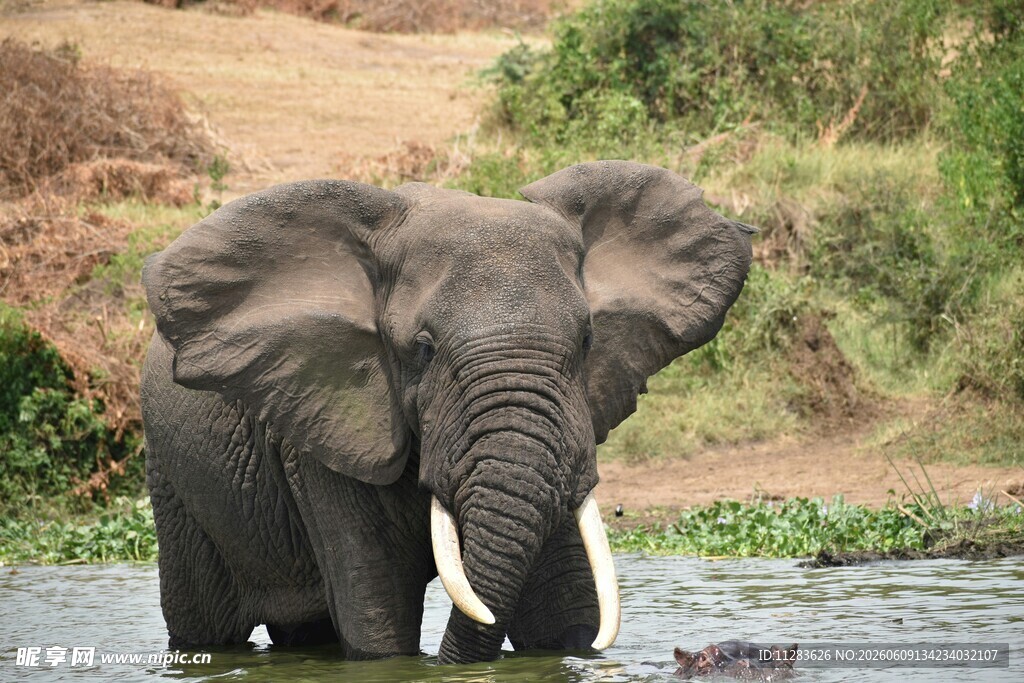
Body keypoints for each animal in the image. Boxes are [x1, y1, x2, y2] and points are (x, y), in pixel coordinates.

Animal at [139, 160, 753, 664]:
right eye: (424, 349)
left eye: (586, 341)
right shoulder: (325, 430)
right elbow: (378, 620)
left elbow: (560, 614)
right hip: (173, 482)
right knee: (205, 626)